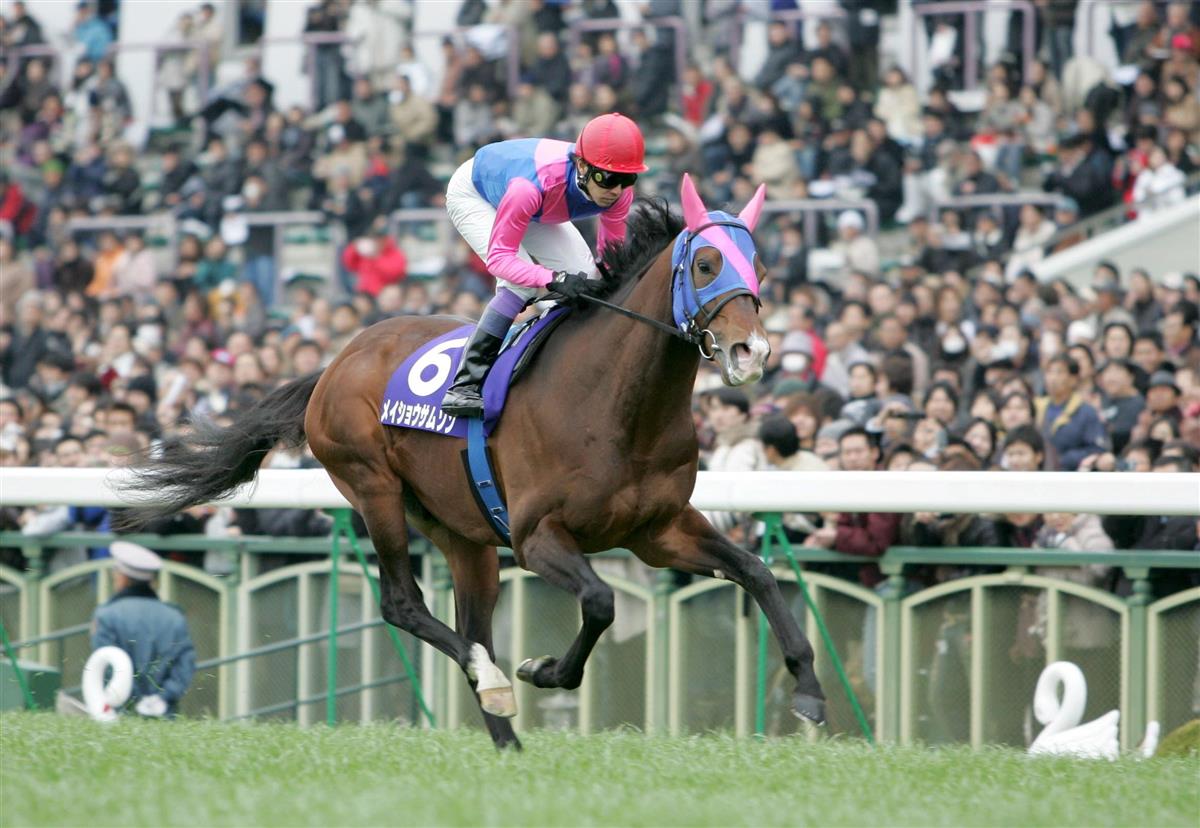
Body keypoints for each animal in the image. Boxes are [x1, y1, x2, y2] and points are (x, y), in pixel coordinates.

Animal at [122, 175, 826, 750]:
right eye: (706, 263)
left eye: (760, 267)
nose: (752, 352)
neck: (622, 406)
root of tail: (337, 361)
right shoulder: (538, 535)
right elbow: (601, 602)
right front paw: (543, 670)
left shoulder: (659, 531)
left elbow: (758, 573)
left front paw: (810, 691)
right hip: (373, 489)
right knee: (403, 604)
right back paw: (492, 679)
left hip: (464, 534)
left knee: (472, 622)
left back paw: (505, 733)